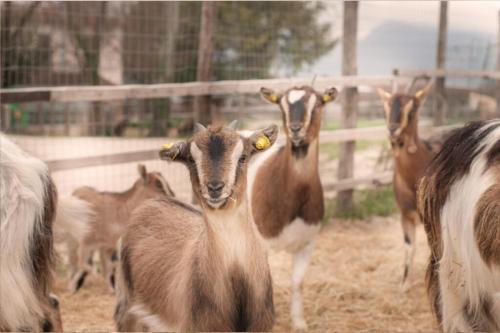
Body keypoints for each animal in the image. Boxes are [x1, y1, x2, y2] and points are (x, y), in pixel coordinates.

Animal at [249, 84, 338, 328]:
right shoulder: (263, 244)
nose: (296, 129)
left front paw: (298, 322)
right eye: (282, 106)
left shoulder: (307, 242)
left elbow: (298, 282)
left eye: (316, 105)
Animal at [376, 81, 444, 286]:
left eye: (412, 110)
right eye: (385, 108)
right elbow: (409, 247)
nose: (393, 130)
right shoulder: (405, 215)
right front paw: (404, 282)